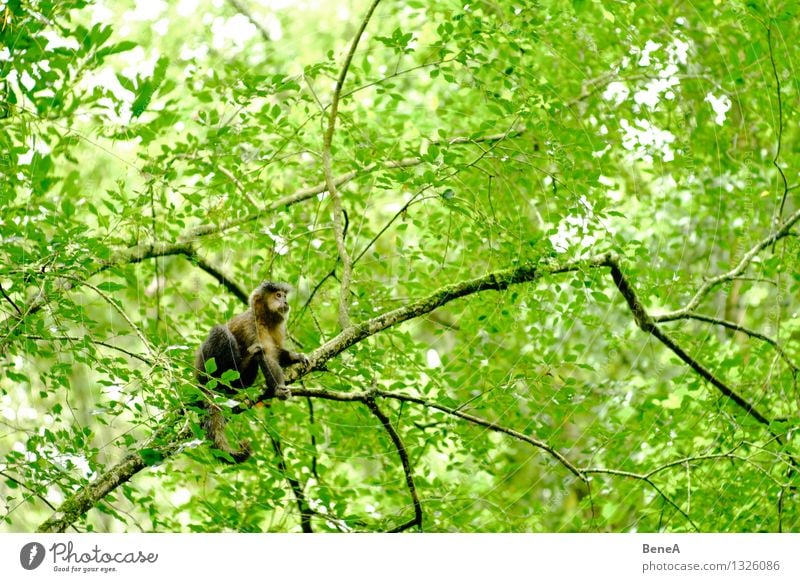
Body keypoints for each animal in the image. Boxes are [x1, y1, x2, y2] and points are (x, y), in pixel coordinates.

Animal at [195, 282, 308, 466]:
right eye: (278, 295)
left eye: (284, 295)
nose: (285, 301)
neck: (265, 320)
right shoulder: (252, 325)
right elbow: (266, 355)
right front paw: (278, 388)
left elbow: (275, 354)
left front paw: (296, 357)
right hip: (205, 369)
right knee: (221, 332)